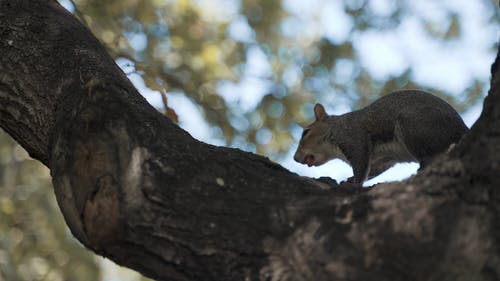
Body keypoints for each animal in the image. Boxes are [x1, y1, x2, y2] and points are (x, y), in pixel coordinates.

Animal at [292, 89, 468, 185]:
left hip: (413, 128)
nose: (294, 158)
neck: (336, 128)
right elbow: (373, 169)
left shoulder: (354, 137)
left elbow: (361, 166)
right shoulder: (385, 158)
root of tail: (462, 129)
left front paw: (355, 184)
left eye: (306, 132)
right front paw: (350, 180)